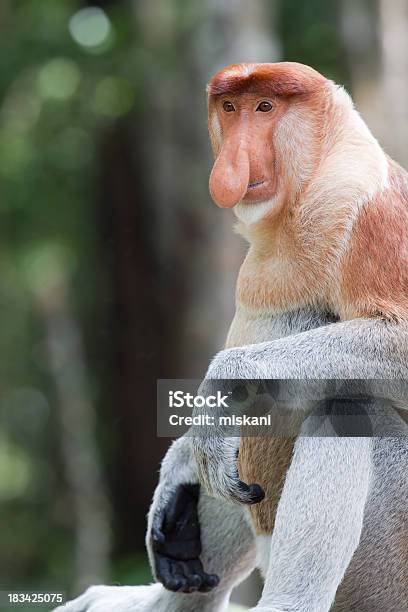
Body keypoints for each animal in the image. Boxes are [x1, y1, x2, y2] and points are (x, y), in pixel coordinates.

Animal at [59, 63, 408, 612]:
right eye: (230, 108)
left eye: (265, 107)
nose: (232, 163)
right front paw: (179, 469)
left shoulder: (364, 209)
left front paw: (223, 386)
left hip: (390, 561)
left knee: (349, 406)